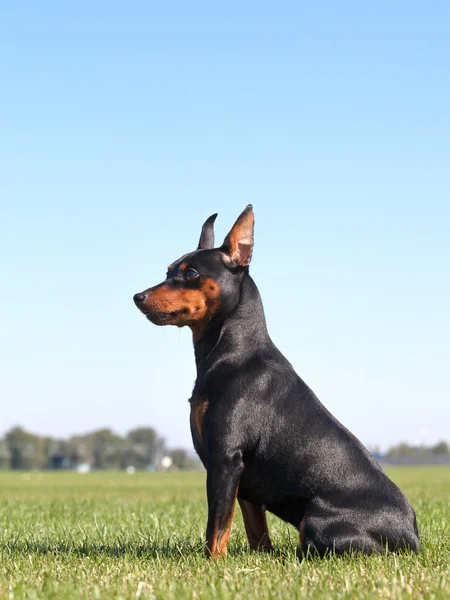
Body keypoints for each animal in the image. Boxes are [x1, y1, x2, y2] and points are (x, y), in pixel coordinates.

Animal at [133, 205, 418, 556]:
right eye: (169, 271)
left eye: (190, 274)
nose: (138, 296)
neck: (234, 354)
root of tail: (412, 538)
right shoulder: (242, 479)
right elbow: (254, 530)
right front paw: (258, 558)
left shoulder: (226, 459)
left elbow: (217, 526)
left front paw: (211, 562)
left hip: (316, 521)